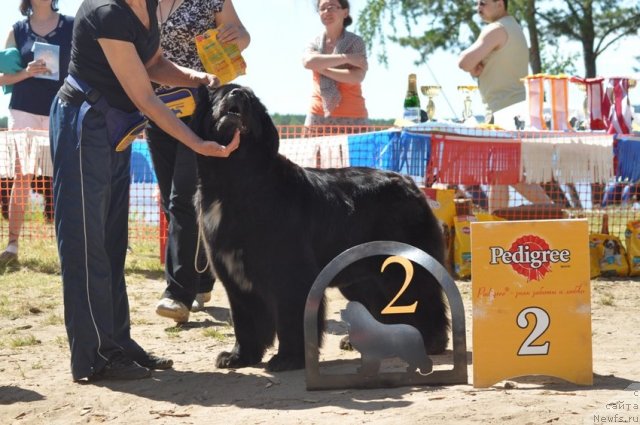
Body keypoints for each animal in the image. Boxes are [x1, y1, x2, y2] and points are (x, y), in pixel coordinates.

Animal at [192, 85, 448, 372]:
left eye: (252, 101)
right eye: (218, 93)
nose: (237, 93)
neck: (234, 180)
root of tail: (410, 183)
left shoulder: (290, 275)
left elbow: (291, 319)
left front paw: (288, 358)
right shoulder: (235, 277)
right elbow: (245, 322)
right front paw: (238, 356)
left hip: (401, 268)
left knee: (423, 300)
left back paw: (429, 342)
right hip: (363, 275)